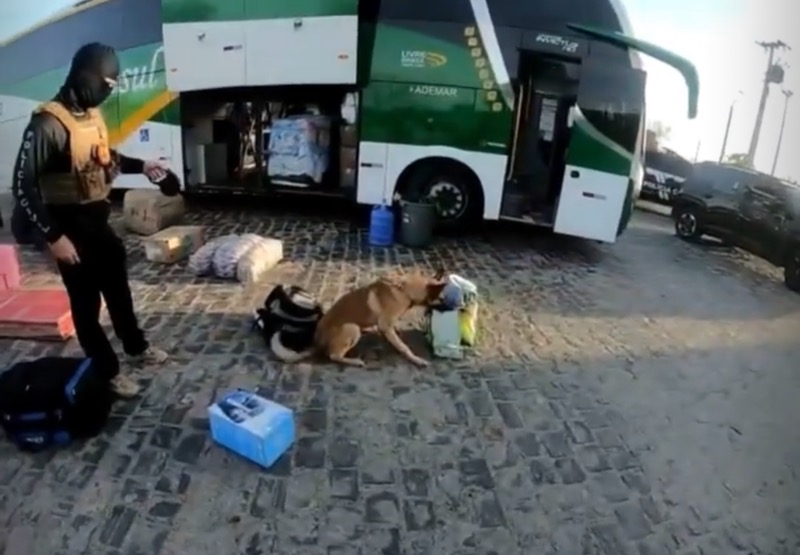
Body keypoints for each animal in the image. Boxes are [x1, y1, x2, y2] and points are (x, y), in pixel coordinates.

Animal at [270, 272, 450, 368]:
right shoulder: (385, 325)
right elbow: (403, 347)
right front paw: (415, 359)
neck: (404, 290)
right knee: (333, 356)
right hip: (352, 328)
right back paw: (354, 361)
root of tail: (317, 341)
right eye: (442, 299)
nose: (454, 306)